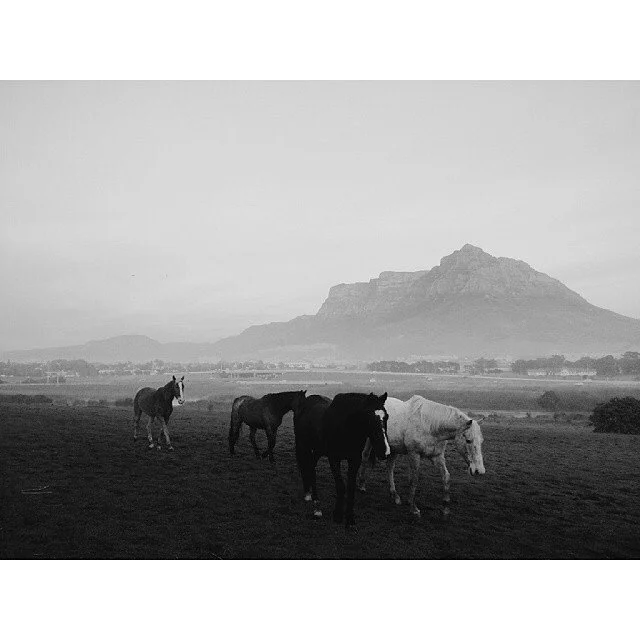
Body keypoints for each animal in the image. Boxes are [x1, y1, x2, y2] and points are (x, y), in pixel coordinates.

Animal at [293, 391, 390, 527]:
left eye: (387, 417)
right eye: (370, 418)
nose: (384, 451)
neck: (345, 427)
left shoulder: (355, 460)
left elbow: (350, 488)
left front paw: (350, 518)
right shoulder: (334, 459)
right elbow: (341, 486)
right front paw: (338, 515)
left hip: (318, 450)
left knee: (311, 468)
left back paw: (311, 497)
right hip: (303, 446)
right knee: (307, 468)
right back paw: (315, 504)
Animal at [356, 395, 485, 518]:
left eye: (481, 441)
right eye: (468, 440)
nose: (479, 471)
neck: (430, 426)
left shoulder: (437, 457)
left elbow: (446, 477)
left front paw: (445, 508)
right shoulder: (414, 454)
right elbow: (414, 480)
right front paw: (414, 509)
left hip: (393, 449)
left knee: (390, 467)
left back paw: (395, 495)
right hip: (370, 441)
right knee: (365, 457)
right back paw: (361, 485)